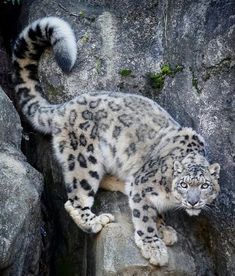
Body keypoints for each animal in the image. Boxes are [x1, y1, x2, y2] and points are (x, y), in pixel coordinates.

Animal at [12, 16, 220, 266]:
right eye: (185, 184)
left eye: (205, 185)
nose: (193, 201)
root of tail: (64, 106)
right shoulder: (142, 186)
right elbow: (144, 217)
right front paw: (154, 247)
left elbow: (155, 212)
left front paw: (165, 229)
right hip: (84, 159)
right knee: (74, 199)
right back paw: (95, 221)